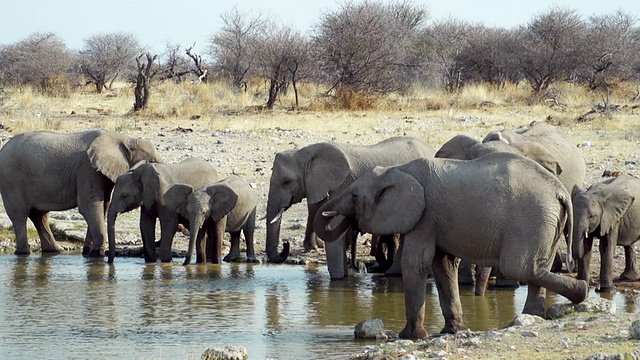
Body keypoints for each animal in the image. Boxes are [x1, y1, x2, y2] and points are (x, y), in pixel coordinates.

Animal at [0, 129, 162, 256]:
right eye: (151, 162)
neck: (126, 139)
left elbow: (103, 206)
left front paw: (88, 252)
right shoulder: (88, 170)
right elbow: (90, 206)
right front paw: (97, 254)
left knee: (39, 216)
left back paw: (53, 251)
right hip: (11, 180)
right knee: (19, 215)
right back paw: (23, 253)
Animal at [264, 136, 436, 280]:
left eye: (287, 182)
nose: (285, 244)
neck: (306, 152)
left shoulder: (341, 183)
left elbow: (332, 225)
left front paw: (338, 280)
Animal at [314, 153, 584, 340]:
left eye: (355, 197)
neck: (398, 170)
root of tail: (560, 191)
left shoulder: (424, 217)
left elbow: (416, 264)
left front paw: (409, 337)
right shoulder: (435, 221)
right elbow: (442, 265)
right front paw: (453, 331)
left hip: (532, 219)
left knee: (520, 268)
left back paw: (578, 291)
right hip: (548, 221)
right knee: (536, 267)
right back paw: (537, 314)